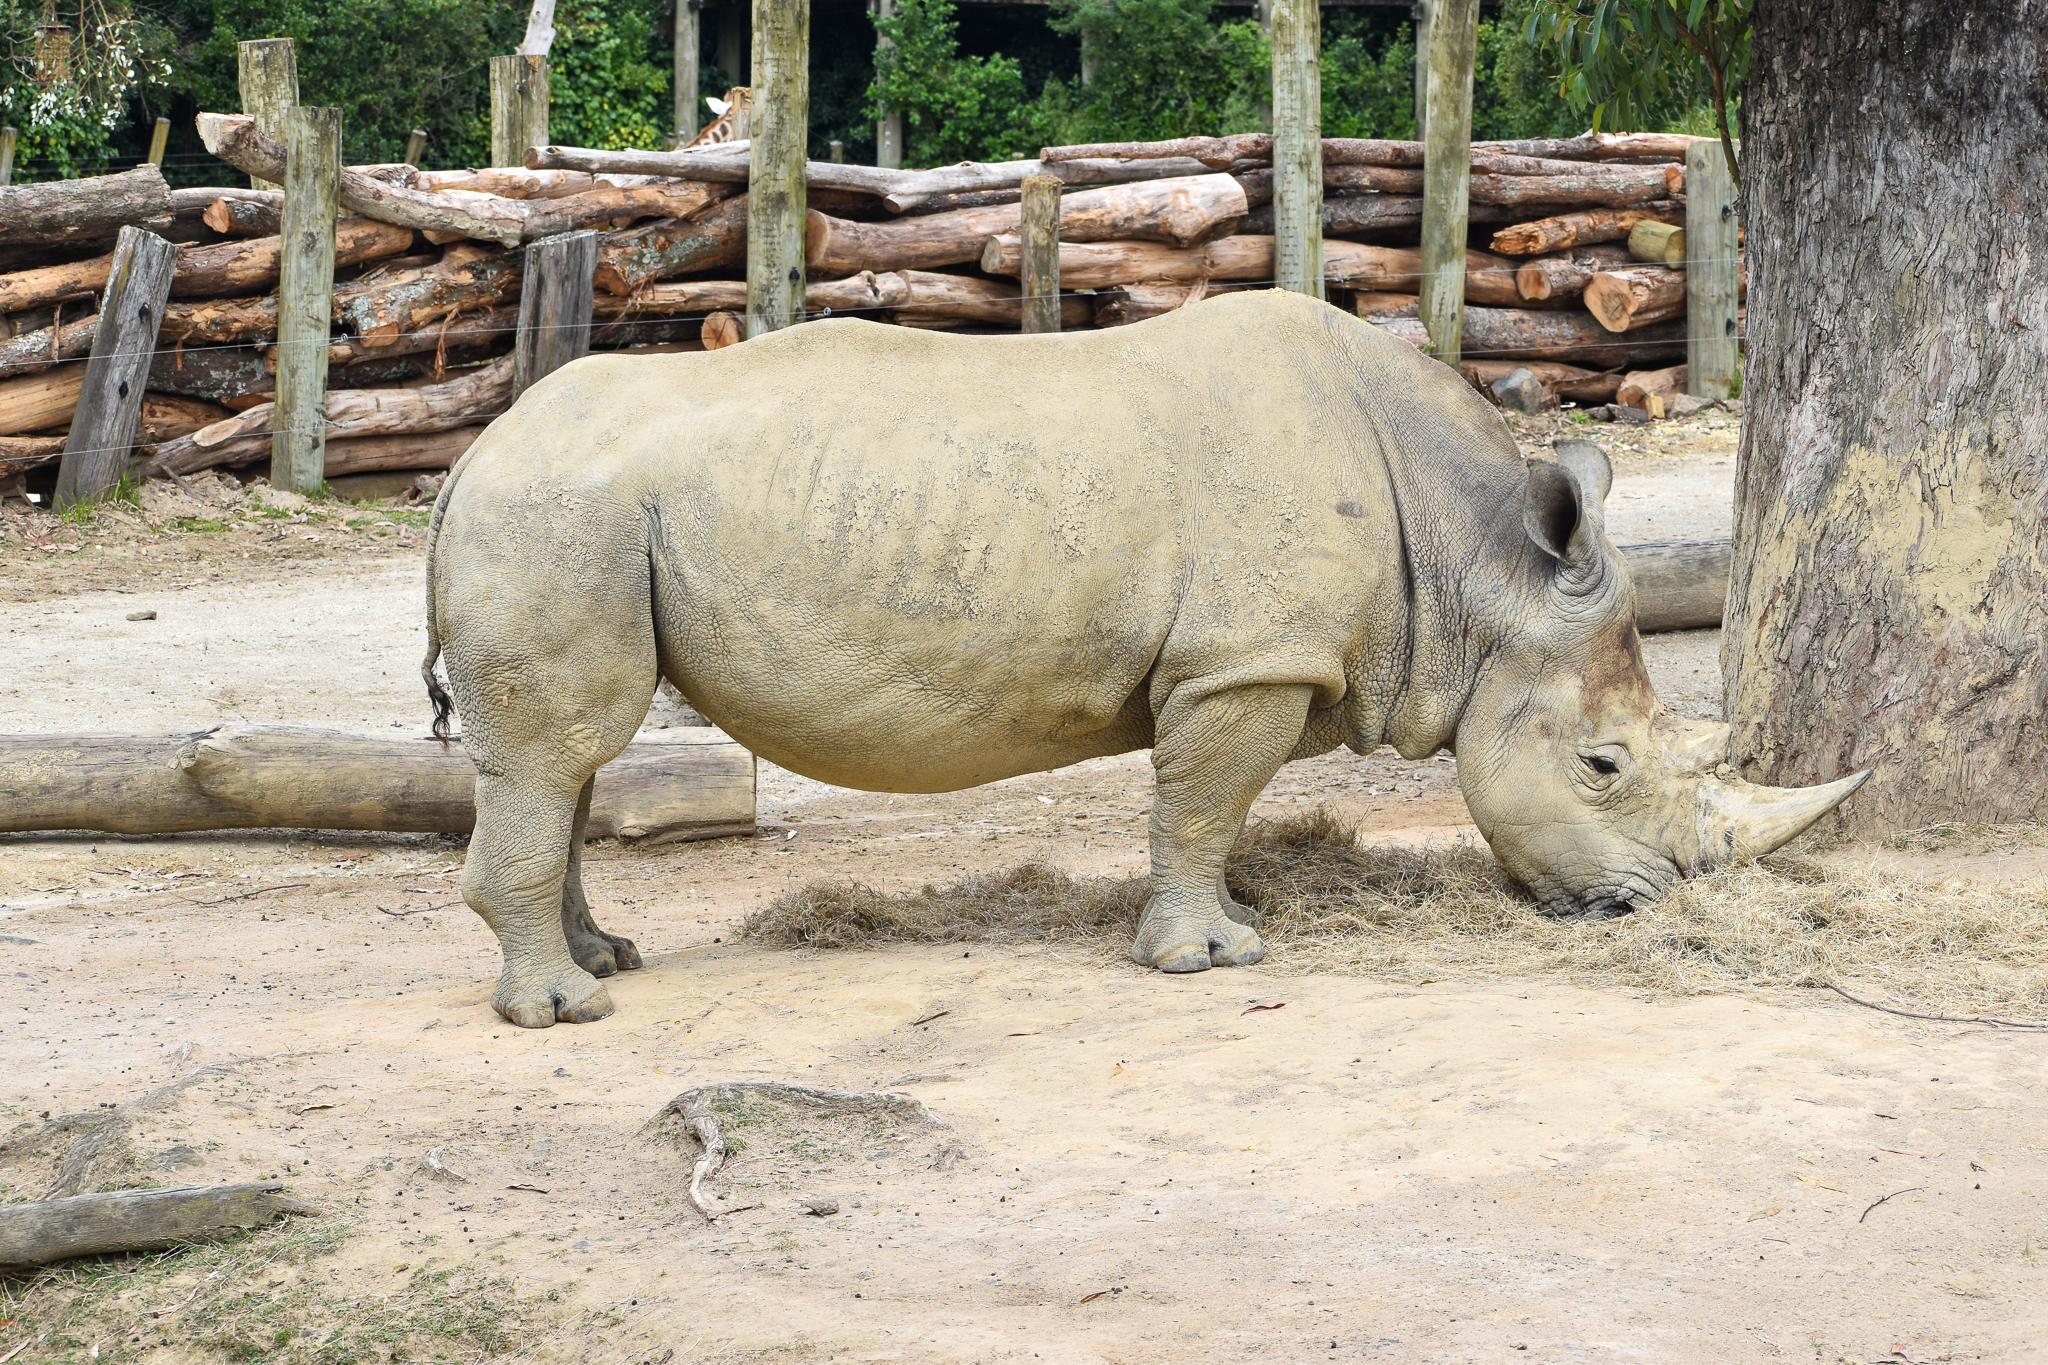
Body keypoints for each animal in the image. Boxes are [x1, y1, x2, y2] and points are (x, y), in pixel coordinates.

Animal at [420, 290, 1864, 1029]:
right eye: (1604, 764)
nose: (1648, 907)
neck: (1479, 567)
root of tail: (469, 460)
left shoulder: (1248, 661)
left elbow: (1206, 811)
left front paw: (1224, 924)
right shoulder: (1246, 664)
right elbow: (1201, 806)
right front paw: (1209, 960)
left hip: (573, 515)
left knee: (565, 766)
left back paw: (607, 962)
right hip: (556, 515)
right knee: (561, 753)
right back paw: (565, 1010)